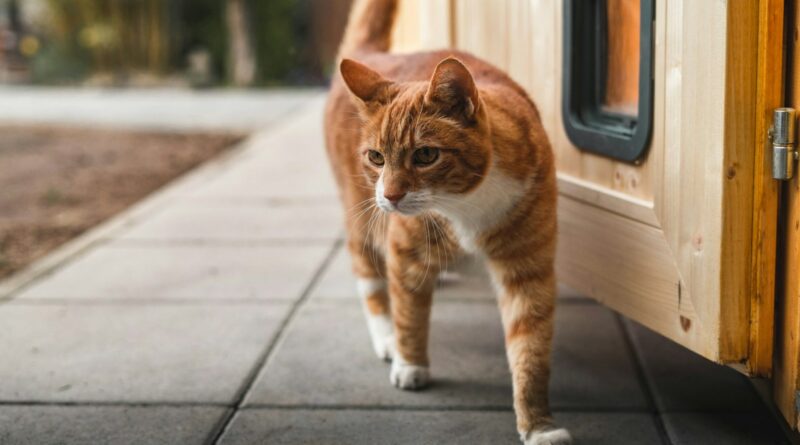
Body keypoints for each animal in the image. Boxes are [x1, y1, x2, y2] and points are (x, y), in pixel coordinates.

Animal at [324, 1, 568, 442]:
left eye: (425, 155)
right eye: (376, 157)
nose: (390, 196)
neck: (466, 204)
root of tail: (373, 55)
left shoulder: (528, 269)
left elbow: (531, 350)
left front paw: (539, 425)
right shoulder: (404, 251)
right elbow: (409, 314)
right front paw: (410, 364)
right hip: (361, 221)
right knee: (371, 281)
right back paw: (386, 338)